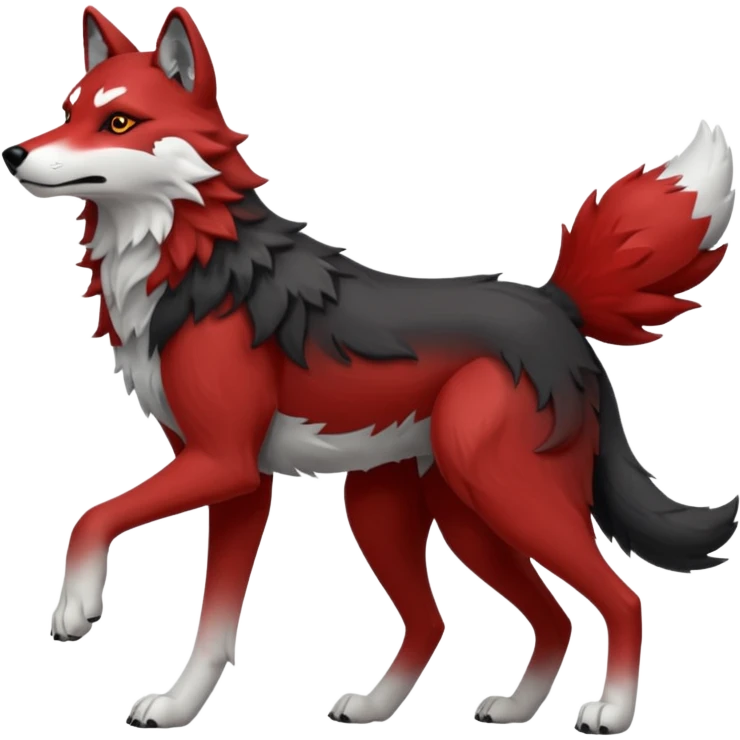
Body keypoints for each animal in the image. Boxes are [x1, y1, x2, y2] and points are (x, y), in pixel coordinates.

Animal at [5, 5, 736, 733]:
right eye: (68, 110)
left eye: (119, 123)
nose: (14, 153)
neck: (188, 261)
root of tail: (555, 303)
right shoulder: (235, 480)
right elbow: (214, 621)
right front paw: (182, 706)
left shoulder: (221, 462)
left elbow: (93, 516)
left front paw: (76, 607)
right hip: (429, 512)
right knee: (493, 620)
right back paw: (464, 707)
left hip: (501, 495)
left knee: (621, 599)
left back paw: (609, 712)